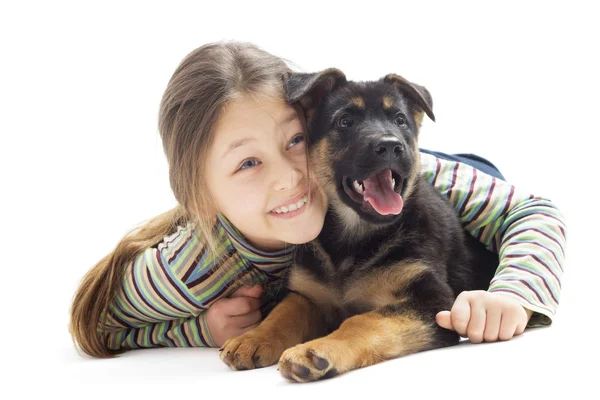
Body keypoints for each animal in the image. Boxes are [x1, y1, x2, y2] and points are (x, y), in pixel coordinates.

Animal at [219, 69, 496, 382]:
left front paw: (318, 349)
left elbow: (364, 321)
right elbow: (284, 311)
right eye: (345, 121)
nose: (390, 145)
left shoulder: (433, 303)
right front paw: (253, 338)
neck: (355, 241)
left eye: (400, 120)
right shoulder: (308, 294)